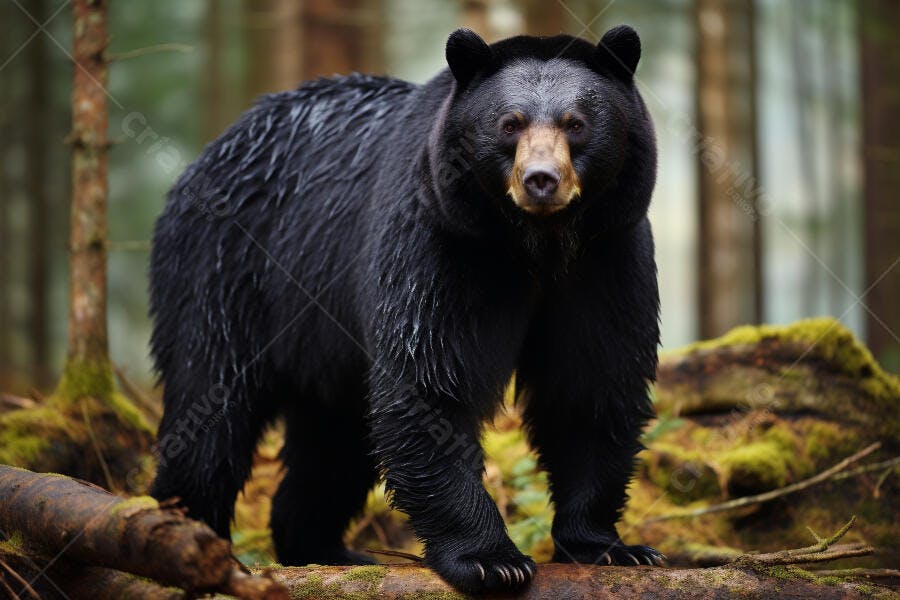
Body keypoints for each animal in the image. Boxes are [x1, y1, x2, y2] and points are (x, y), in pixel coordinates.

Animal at [149, 25, 661, 594]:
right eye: (509, 124)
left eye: (576, 122)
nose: (541, 179)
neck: (536, 246)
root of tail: (211, 151)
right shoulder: (439, 242)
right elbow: (429, 381)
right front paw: (491, 559)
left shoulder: (606, 257)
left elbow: (593, 384)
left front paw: (612, 547)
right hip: (228, 268)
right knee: (212, 401)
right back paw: (187, 535)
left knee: (334, 444)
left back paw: (324, 548)